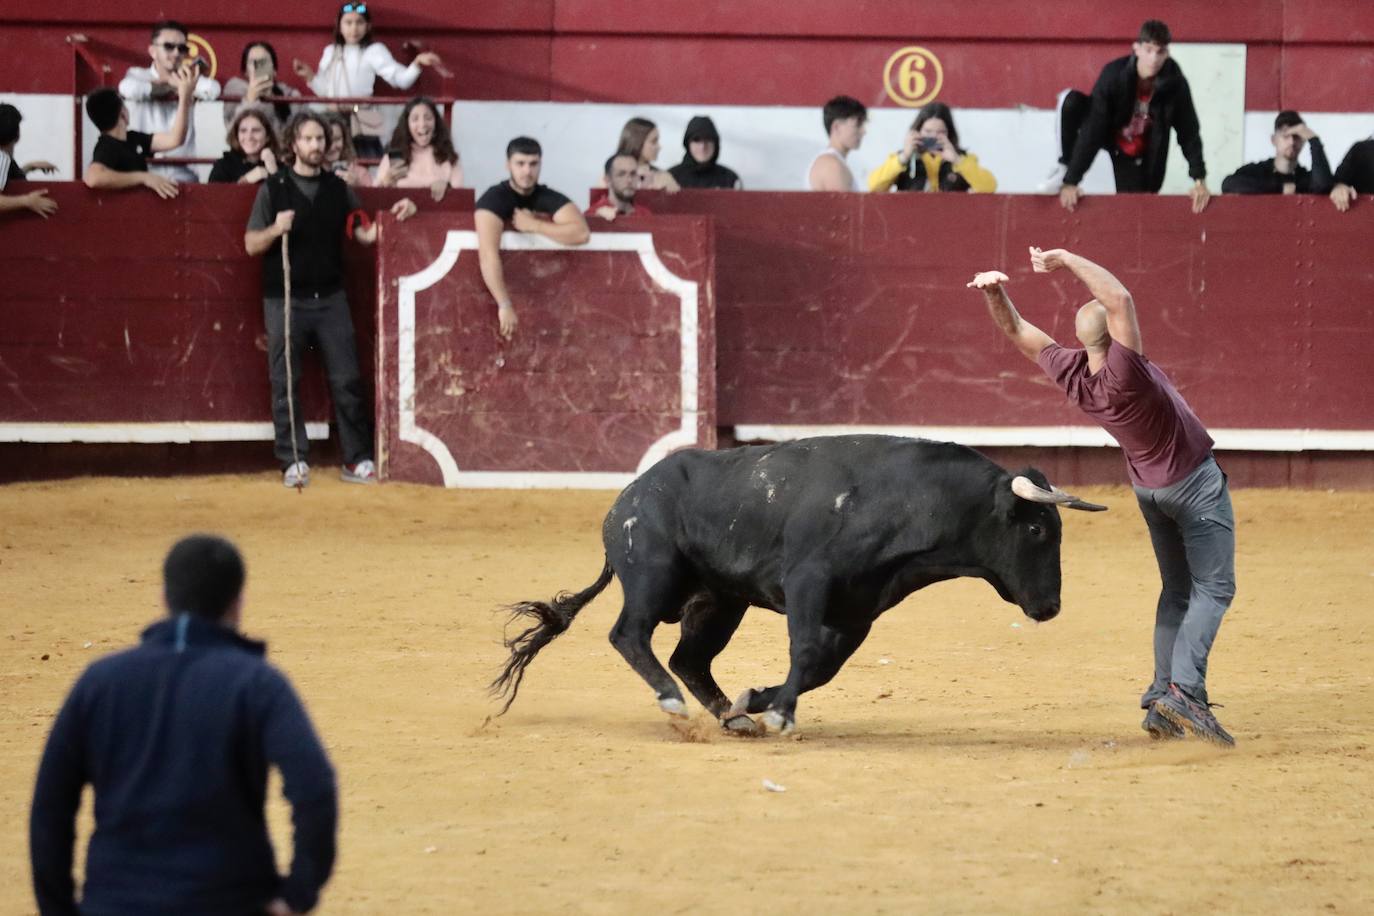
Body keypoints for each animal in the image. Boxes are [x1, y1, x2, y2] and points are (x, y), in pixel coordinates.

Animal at [489, 436, 1099, 736]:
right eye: (1039, 529)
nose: (1050, 606)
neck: (909, 498)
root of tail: (624, 500)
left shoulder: (857, 611)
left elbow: (822, 667)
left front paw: (758, 701)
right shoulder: (809, 580)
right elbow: (804, 651)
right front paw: (780, 714)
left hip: (718, 602)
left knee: (691, 659)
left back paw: (733, 717)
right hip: (653, 575)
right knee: (630, 635)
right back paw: (671, 701)